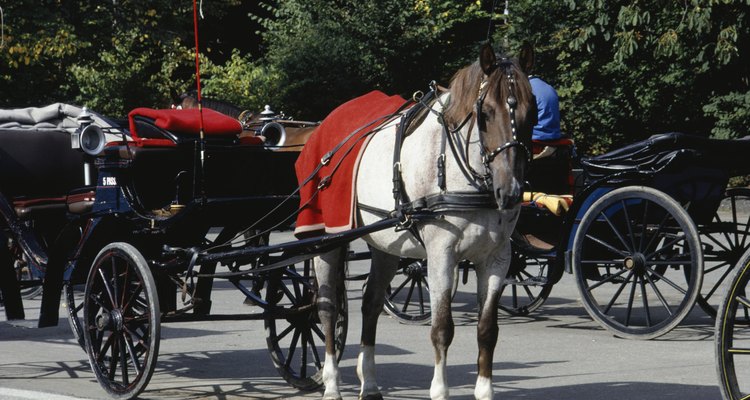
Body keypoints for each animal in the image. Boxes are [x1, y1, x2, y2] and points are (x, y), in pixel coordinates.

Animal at [314, 44, 536, 400]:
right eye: (486, 113)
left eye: (533, 112)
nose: (511, 191)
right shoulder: (441, 255)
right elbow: (442, 328)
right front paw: (439, 390)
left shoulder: (497, 258)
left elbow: (487, 329)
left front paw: (484, 390)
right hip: (327, 237)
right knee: (328, 308)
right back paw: (332, 383)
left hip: (386, 246)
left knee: (370, 303)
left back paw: (370, 381)